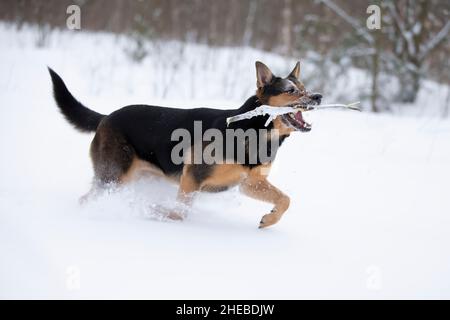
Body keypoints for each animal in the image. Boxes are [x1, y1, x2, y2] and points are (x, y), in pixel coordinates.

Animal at [49, 62, 322, 228]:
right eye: (290, 90)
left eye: (305, 88)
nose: (319, 96)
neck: (254, 131)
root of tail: (106, 117)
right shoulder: (193, 176)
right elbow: (180, 211)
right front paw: (161, 214)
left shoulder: (249, 183)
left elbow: (285, 199)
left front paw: (269, 219)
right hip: (114, 177)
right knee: (86, 199)